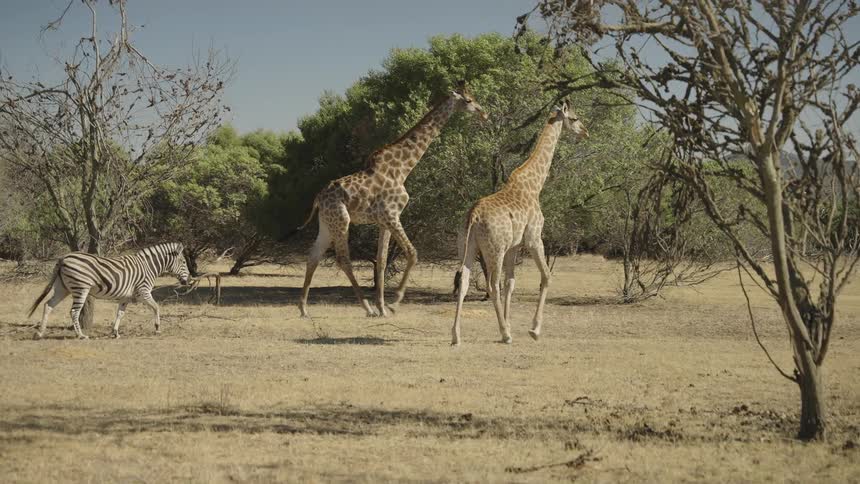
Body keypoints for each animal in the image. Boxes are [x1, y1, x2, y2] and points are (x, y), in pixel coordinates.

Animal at [28, 242, 190, 340]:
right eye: (183, 262)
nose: (187, 280)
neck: (148, 266)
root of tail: (63, 258)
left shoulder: (126, 296)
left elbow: (120, 313)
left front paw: (115, 332)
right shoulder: (143, 292)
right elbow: (156, 307)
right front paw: (157, 328)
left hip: (63, 288)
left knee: (48, 305)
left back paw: (40, 333)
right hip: (81, 287)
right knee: (74, 311)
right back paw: (81, 335)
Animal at [299, 80, 488, 318]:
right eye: (469, 100)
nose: (484, 113)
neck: (403, 168)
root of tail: (318, 199)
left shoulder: (383, 221)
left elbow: (381, 261)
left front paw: (382, 307)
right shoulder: (391, 215)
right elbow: (412, 253)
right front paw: (393, 303)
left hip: (326, 223)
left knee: (313, 256)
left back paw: (303, 308)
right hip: (342, 220)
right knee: (343, 259)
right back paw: (366, 307)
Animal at [451, 100, 588, 345]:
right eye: (574, 118)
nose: (585, 132)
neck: (535, 186)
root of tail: (473, 216)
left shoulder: (514, 246)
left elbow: (511, 282)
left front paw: (510, 324)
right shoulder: (534, 238)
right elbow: (546, 276)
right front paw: (533, 330)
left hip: (467, 246)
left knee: (464, 281)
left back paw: (456, 335)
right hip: (494, 249)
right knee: (492, 285)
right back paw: (505, 335)